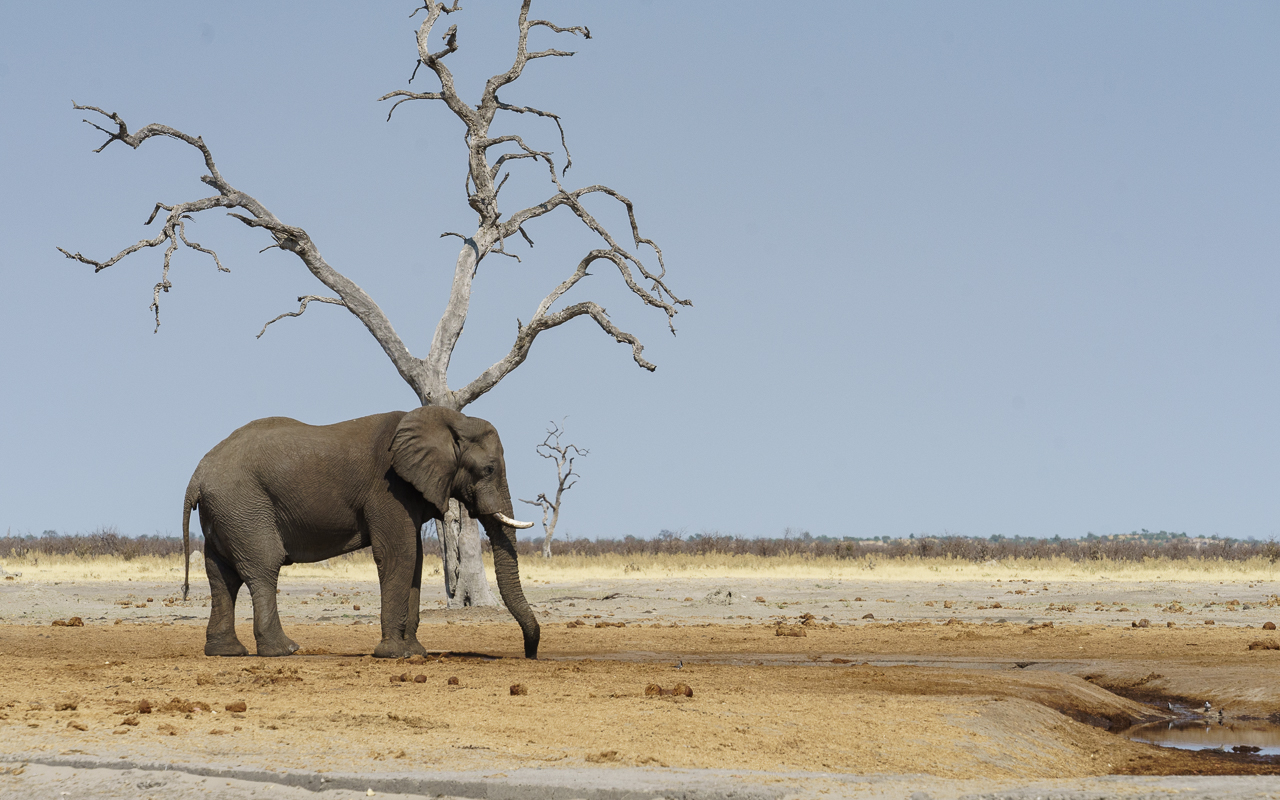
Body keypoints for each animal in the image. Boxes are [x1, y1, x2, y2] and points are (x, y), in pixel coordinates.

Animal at [181, 406, 540, 659]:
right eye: (489, 469)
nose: (530, 653)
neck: (446, 419)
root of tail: (197, 475)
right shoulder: (388, 489)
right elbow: (399, 554)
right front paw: (395, 654)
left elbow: (415, 560)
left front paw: (416, 653)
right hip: (244, 505)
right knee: (264, 567)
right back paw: (284, 650)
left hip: (226, 511)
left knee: (221, 575)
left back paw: (226, 652)